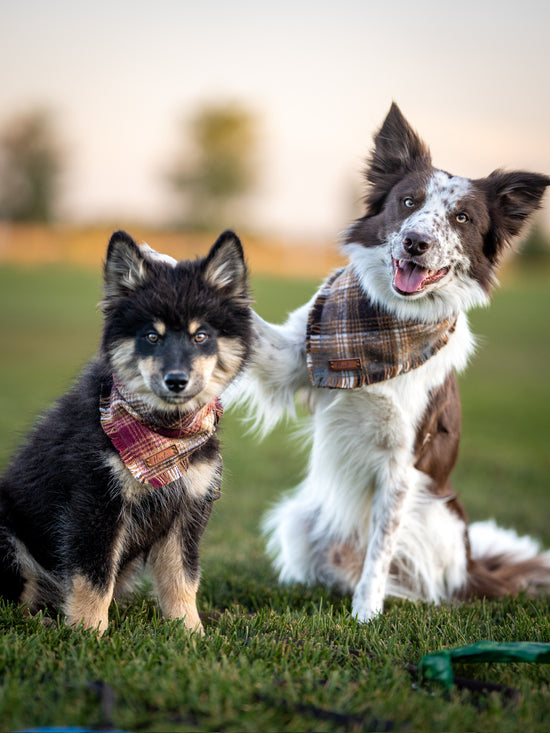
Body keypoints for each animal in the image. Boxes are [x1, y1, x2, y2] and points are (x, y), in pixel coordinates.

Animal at [0, 230, 252, 636]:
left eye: (201, 336)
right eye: (151, 336)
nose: (177, 380)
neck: (165, 437)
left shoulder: (187, 510)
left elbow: (182, 580)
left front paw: (190, 633)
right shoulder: (96, 504)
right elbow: (94, 577)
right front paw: (90, 633)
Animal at [236, 101, 550, 616]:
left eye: (462, 218)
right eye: (408, 202)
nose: (415, 242)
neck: (388, 322)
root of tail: (474, 568)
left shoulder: (403, 463)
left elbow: (381, 547)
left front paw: (366, 612)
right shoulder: (293, 357)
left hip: (437, 519)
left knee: (426, 585)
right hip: (301, 517)